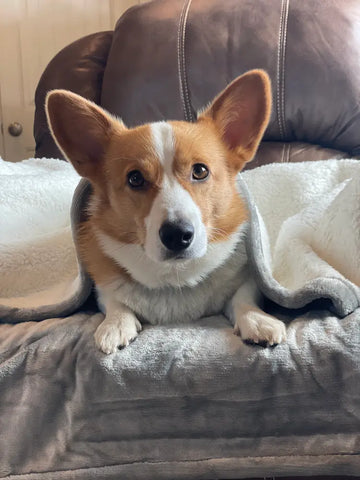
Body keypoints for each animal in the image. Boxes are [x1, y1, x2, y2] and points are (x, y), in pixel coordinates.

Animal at [45, 69, 286, 354]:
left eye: (200, 171)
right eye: (135, 178)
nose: (177, 235)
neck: (174, 279)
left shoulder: (248, 277)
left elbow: (244, 297)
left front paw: (258, 320)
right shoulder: (102, 286)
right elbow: (115, 302)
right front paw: (115, 325)